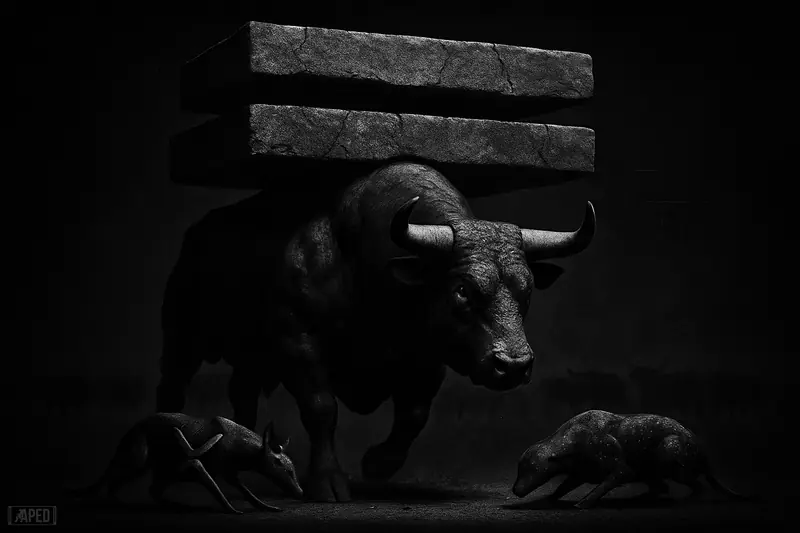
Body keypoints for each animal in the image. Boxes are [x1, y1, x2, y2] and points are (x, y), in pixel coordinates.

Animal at [155, 161, 596, 502]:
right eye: (462, 290)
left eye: (528, 289)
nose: (514, 365)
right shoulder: (297, 337)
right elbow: (321, 408)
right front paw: (327, 481)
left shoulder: (426, 356)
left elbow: (414, 414)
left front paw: (378, 464)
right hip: (182, 335)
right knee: (174, 383)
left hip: (249, 357)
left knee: (241, 394)